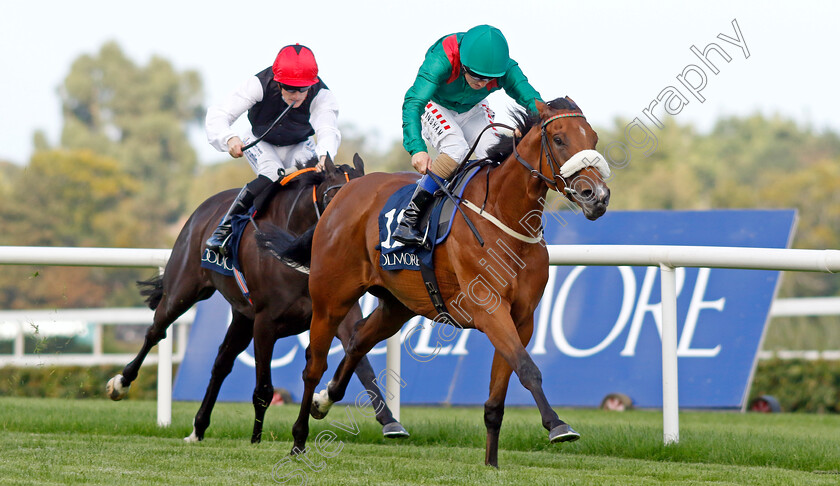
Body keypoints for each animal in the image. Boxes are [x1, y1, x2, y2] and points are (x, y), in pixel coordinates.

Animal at [105, 155, 406, 440]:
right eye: (334, 198)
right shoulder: (265, 322)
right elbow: (263, 388)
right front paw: (256, 440)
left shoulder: (337, 313)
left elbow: (362, 362)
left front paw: (388, 421)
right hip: (183, 290)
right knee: (156, 331)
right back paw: (121, 383)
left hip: (241, 316)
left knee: (222, 362)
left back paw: (198, 428)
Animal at [268, 98, 612, 468]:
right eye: (559, 140)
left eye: (593, 138)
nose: (597, 196)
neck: (503, 215)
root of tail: (342, 195)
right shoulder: (490, 309)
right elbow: (528, 368)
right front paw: (557, 425)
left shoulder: (521, 318)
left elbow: (499, 393)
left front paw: (492, 463)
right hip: (330, 298)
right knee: (313, 365)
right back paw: (299, 439)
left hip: (396, 306)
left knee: (358, 339)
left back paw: (325, 399)